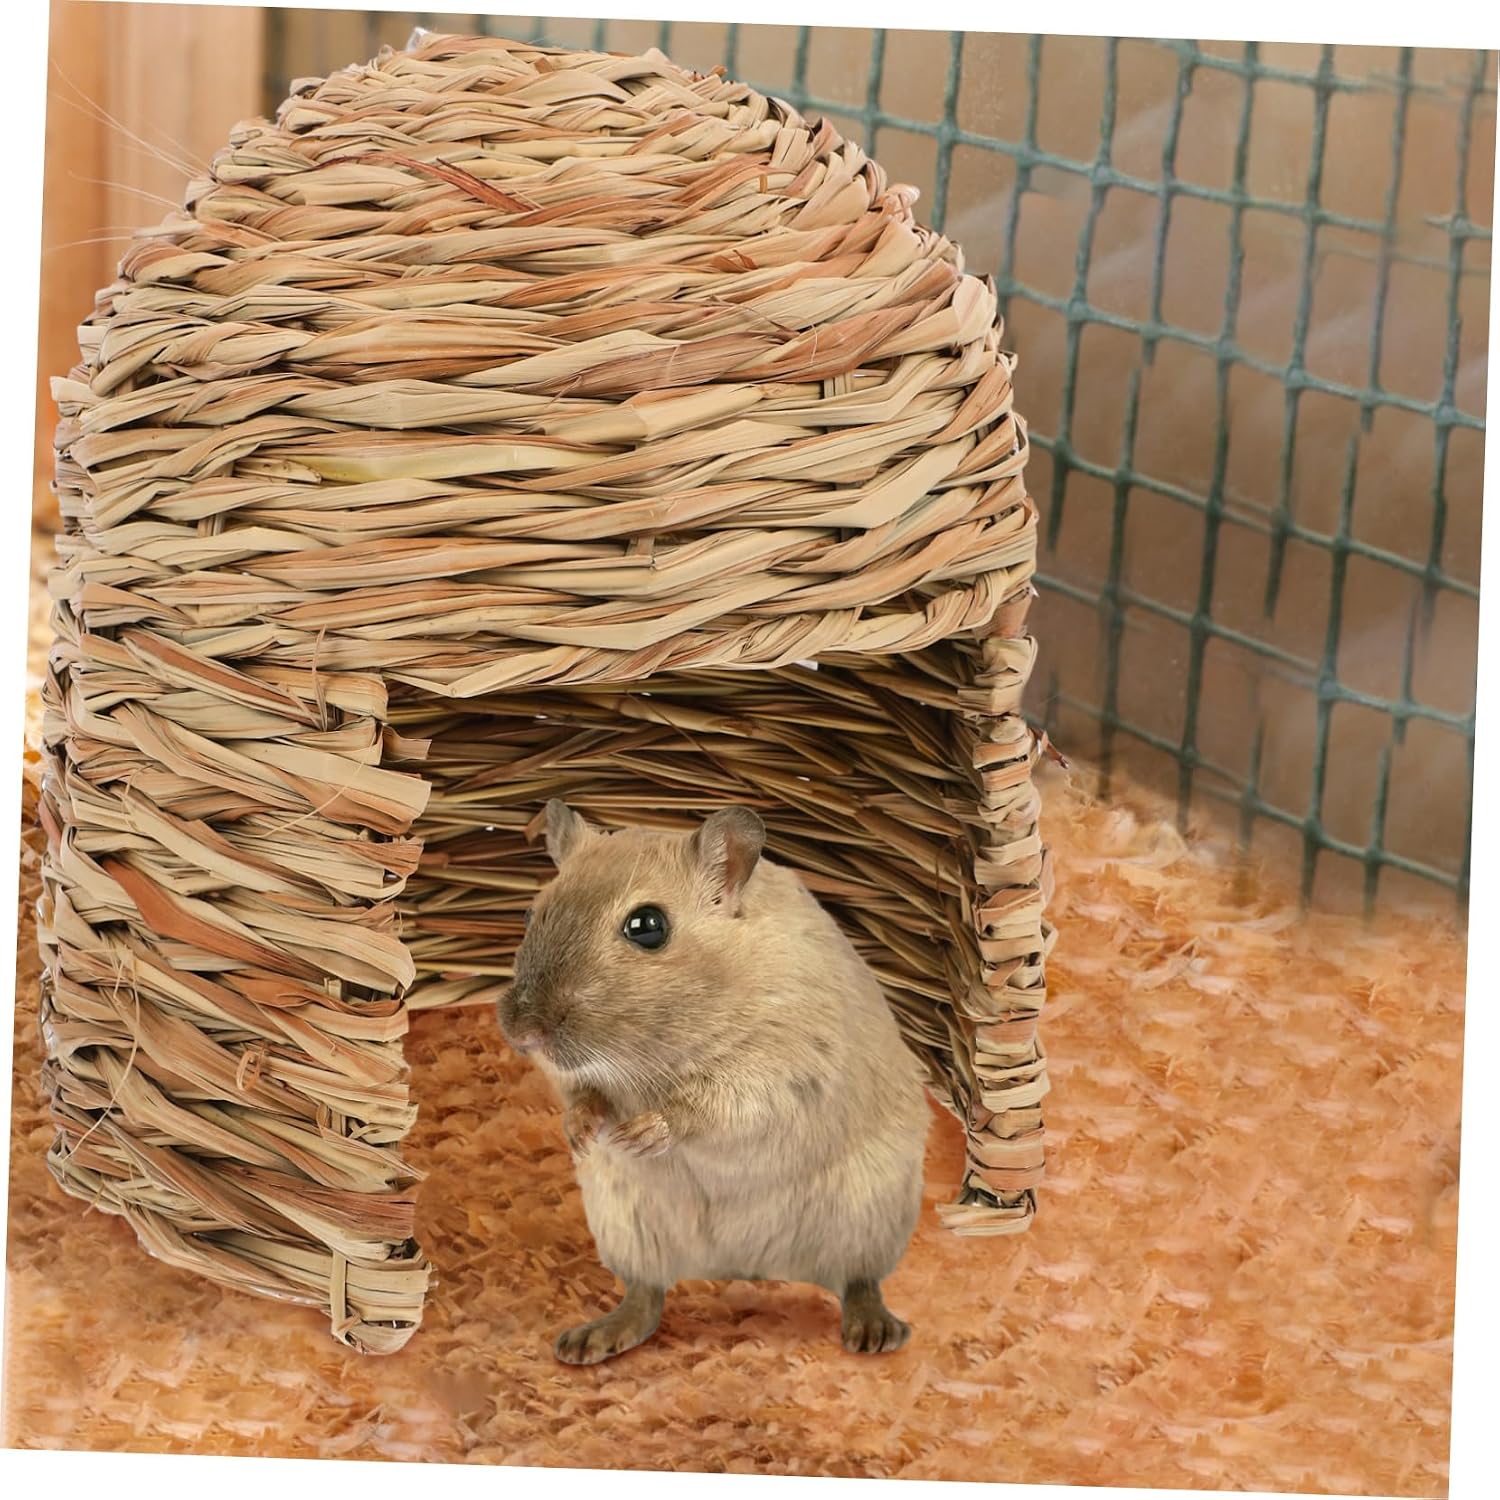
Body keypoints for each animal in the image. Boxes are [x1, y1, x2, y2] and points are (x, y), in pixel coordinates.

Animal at [496, 799, 930, 1365]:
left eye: (647, 926)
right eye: (531, 913)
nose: (523, 1034)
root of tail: (744, 1265)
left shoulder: (778, 1071)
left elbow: (704, 1110)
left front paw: (642, 1133)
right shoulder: (572, 1077)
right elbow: (581, 1096)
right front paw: (583, 1133)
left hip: (869, 1217)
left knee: (859, 1282)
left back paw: (876, 1332)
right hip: (627, 1226)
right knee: (646, 1296)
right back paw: (592, 1339)